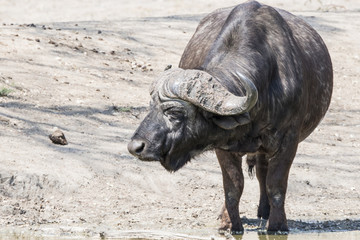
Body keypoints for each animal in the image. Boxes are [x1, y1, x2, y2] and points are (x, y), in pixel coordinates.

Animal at [128, 0, 334, 232]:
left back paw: (265, 211)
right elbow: (233, 185)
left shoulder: (288, 141)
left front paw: (278, 225)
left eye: (175, 112)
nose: (136, 147)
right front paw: (229, 223)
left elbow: (276, 184)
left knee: (263, 172)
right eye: (151, 106)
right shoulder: (223, 145)